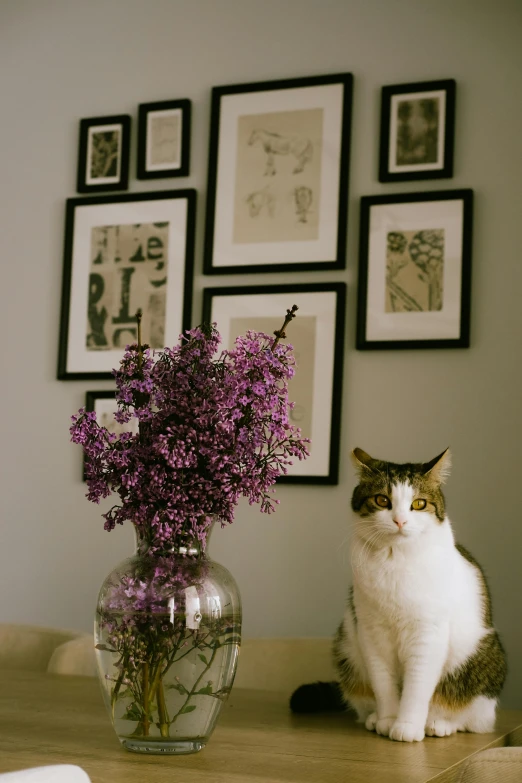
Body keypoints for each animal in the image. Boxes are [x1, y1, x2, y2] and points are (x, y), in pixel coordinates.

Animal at [288, 450, 504, 744]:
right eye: (382, 500)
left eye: (419, 503)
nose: (400, 520)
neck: (394, 560)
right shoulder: (371, 632)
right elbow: (383, 684)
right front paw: (388, 720)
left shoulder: (427, 633)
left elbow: (417, 687)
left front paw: (407, 727)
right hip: (347, 647)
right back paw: (373, 718)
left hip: (480, 660)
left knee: (473, 718)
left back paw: (439, 723)